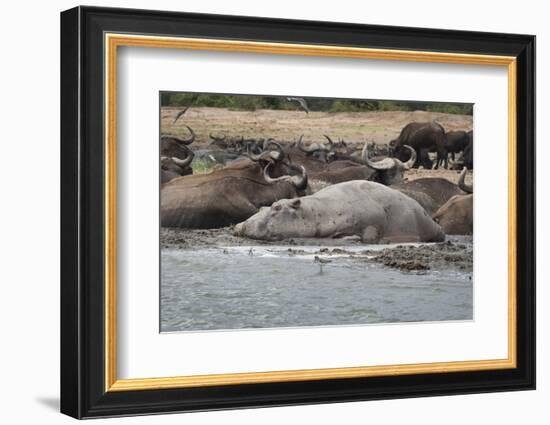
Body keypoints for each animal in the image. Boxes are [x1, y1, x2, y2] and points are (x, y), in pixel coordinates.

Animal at [235, 180, 446, 242]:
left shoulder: (372, 221)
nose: (243, 225)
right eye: (263, 206)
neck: (314, 212)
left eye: (277, 207)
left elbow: (368, 234)